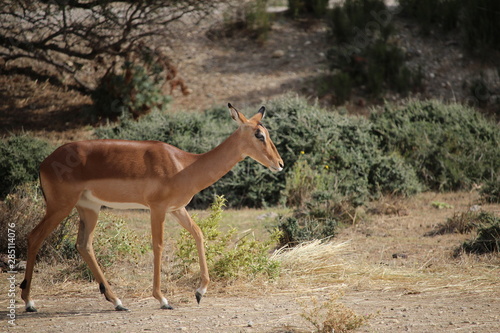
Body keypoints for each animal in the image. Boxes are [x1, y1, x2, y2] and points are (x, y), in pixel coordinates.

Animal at [19, 103, 284, 312]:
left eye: (267, 132)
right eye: (259, 134)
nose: (280, 164)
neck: (184, 164)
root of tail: (45, 162)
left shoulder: (177, 209)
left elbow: (198, 234)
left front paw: (200, 292)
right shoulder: (157, 208)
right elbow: (158, 246)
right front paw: (163, 299)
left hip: (89, 208)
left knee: (84, 245)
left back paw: (117, 301)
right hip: (60, 207)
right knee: (34, 237)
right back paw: (29, 302)